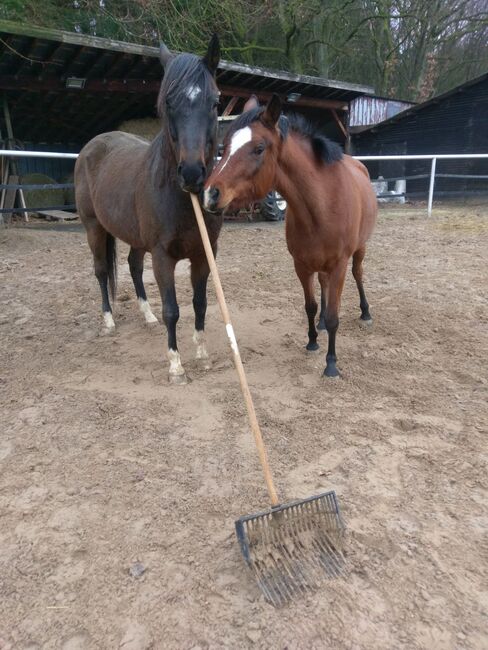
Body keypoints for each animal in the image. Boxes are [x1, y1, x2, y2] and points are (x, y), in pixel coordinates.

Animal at [75, 35, 222, 382]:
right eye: (168, 103)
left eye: (215, 102)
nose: (192, 173)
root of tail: (93, 144)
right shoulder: (163, 256)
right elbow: (173, 310)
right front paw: (176, 366)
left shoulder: (203, 254)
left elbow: (199, 304)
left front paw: (203, 355)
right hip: (93, 227)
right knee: (101, 271)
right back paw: (109, 321)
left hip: (134, 237)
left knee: (132, 265)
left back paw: (147, 316)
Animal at [203, 95, 378, 374]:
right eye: (226, 145)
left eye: (259, 148)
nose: (210, 194)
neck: (322, 204)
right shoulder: (301, 265)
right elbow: (310, 306)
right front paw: (312, 341)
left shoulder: (339, 265)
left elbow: (334, 316)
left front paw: (331, 364)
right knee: (323, 284)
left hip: (360, 249)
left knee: (358, 274)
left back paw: (365, 313)